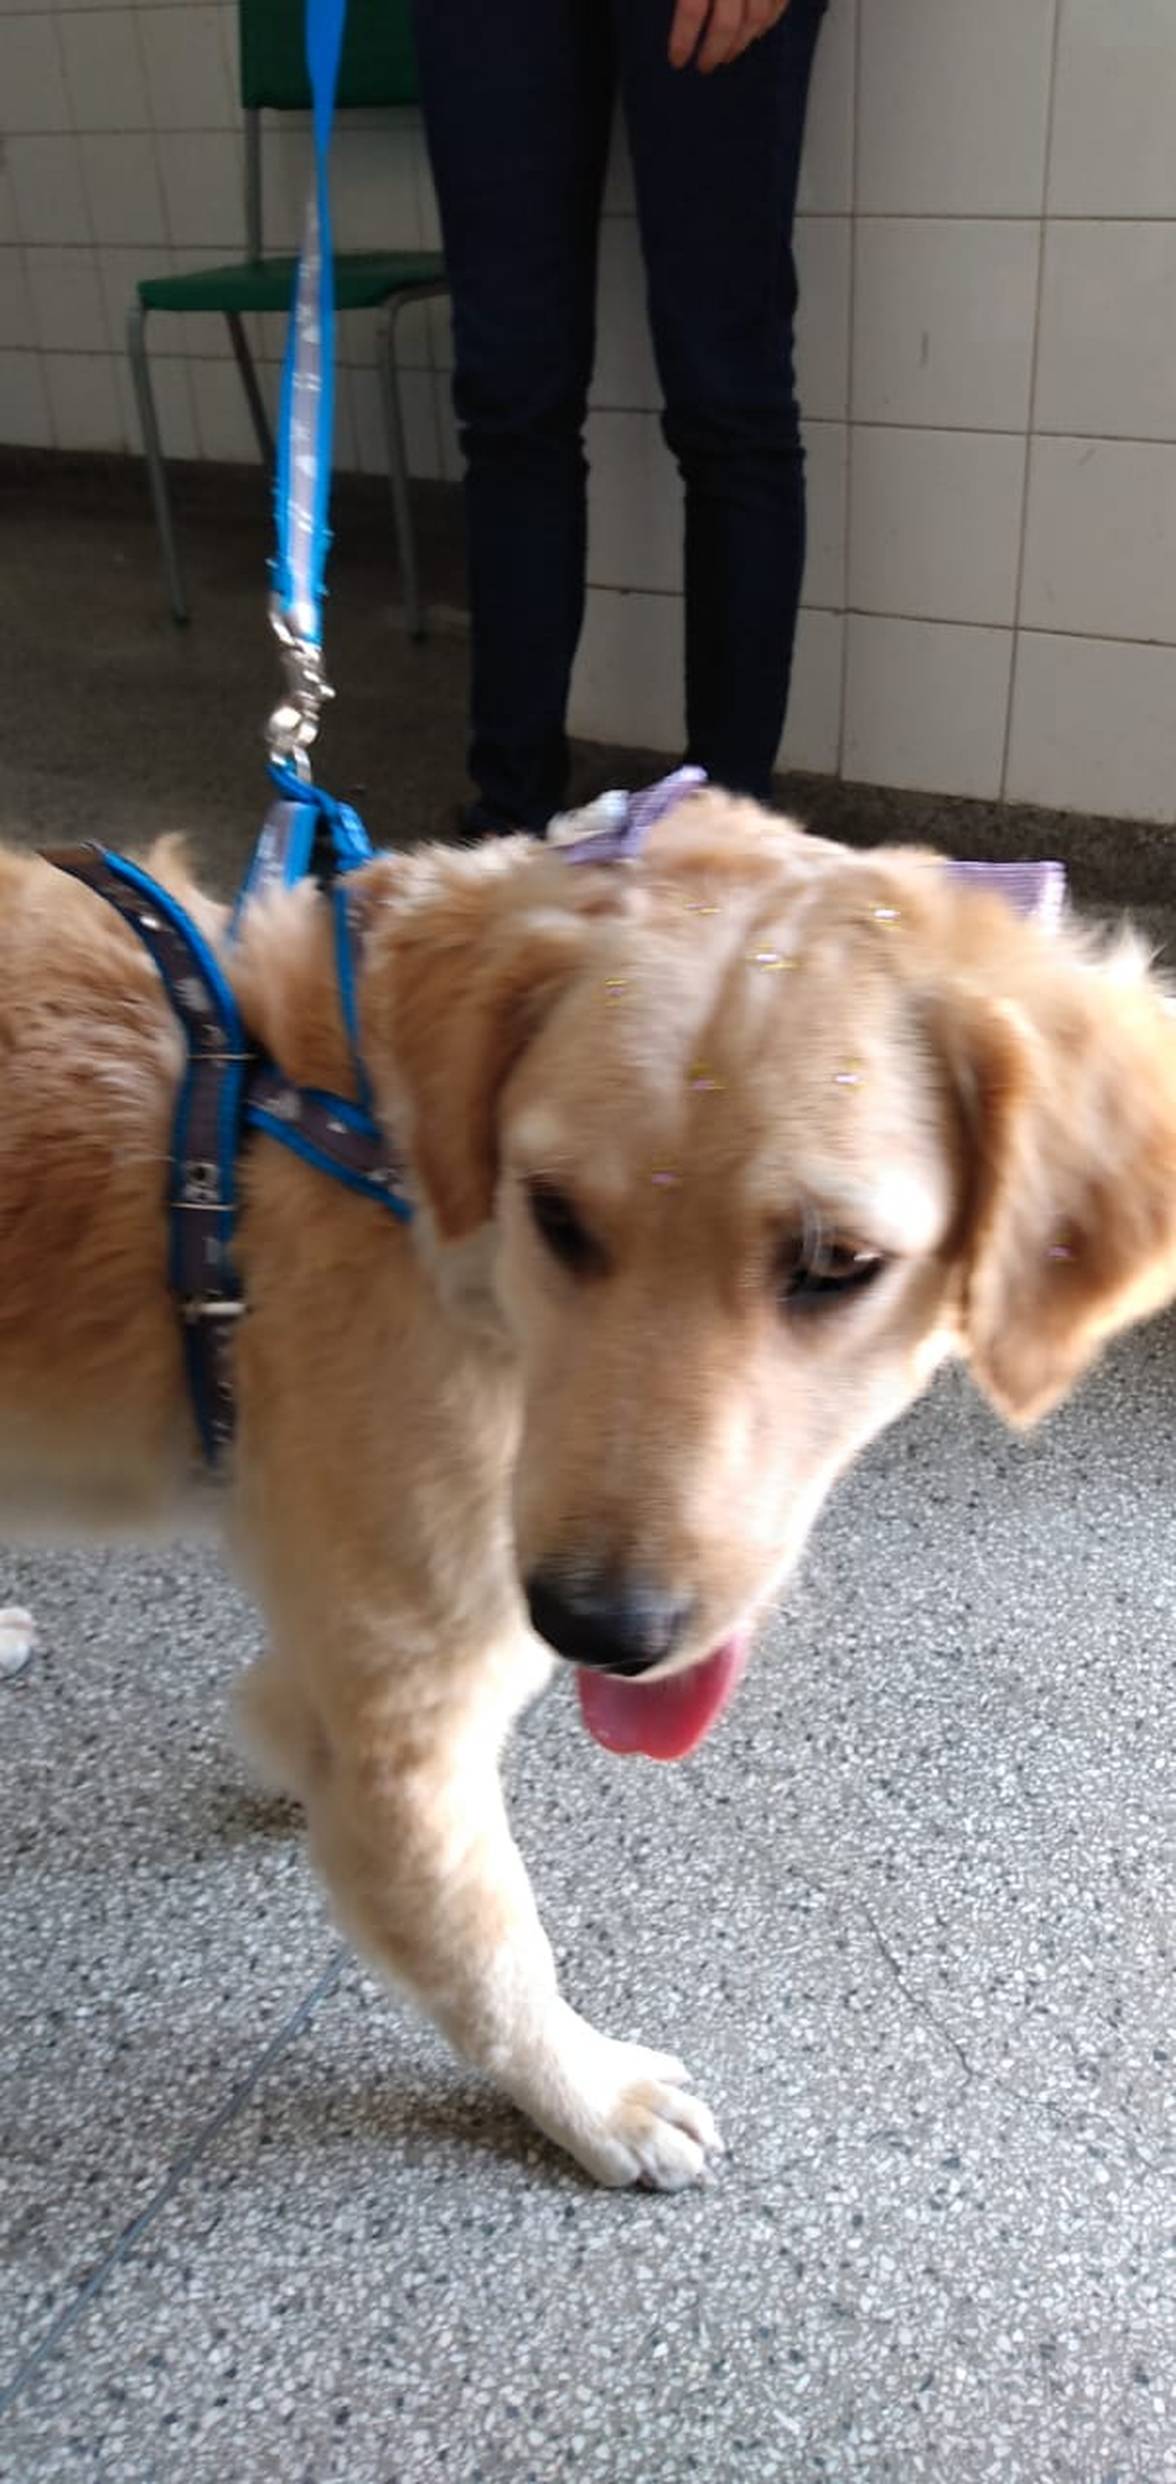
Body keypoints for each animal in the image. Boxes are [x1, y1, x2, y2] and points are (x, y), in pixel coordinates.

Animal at [3, 787, 1176, 2190]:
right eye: (554, 1212)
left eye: (837, 1263)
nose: (596, 1629)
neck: (390, 1169)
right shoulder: (418, 1711)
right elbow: (487, 1943)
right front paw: (590, 2097)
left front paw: (281, 1735)